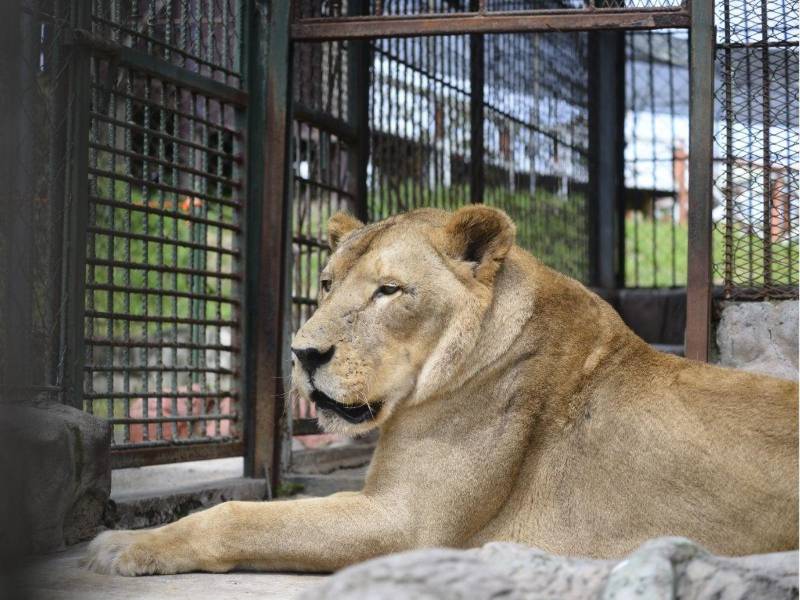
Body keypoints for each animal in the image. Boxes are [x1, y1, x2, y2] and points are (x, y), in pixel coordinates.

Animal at [85, 206, 798, 576]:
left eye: (389, 290)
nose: (303, 353)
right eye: (325, 283)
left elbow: (242, 515)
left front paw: (129, 546)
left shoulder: (410, 524)